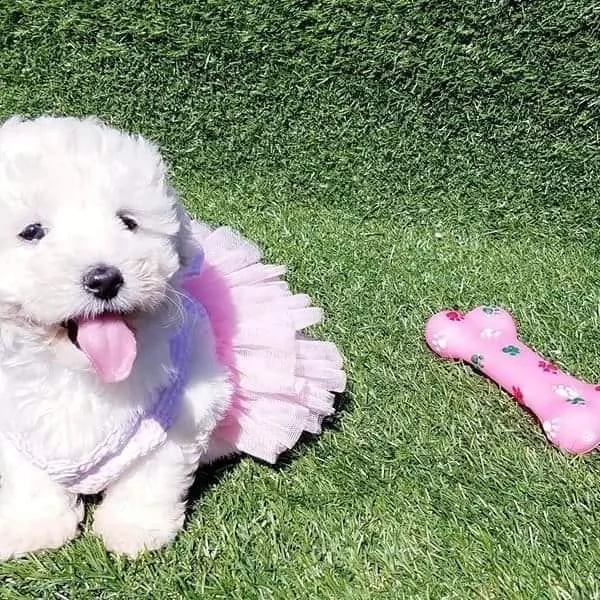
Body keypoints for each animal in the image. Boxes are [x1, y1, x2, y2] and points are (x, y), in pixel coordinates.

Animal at [0, 116, 233, 556]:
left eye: (128, 222)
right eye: (33, 232)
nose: (105, 278)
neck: (82, 373)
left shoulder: (182, 407)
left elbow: (151, 476)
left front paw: (133, 529)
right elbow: (28, 476)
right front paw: (34, 525)